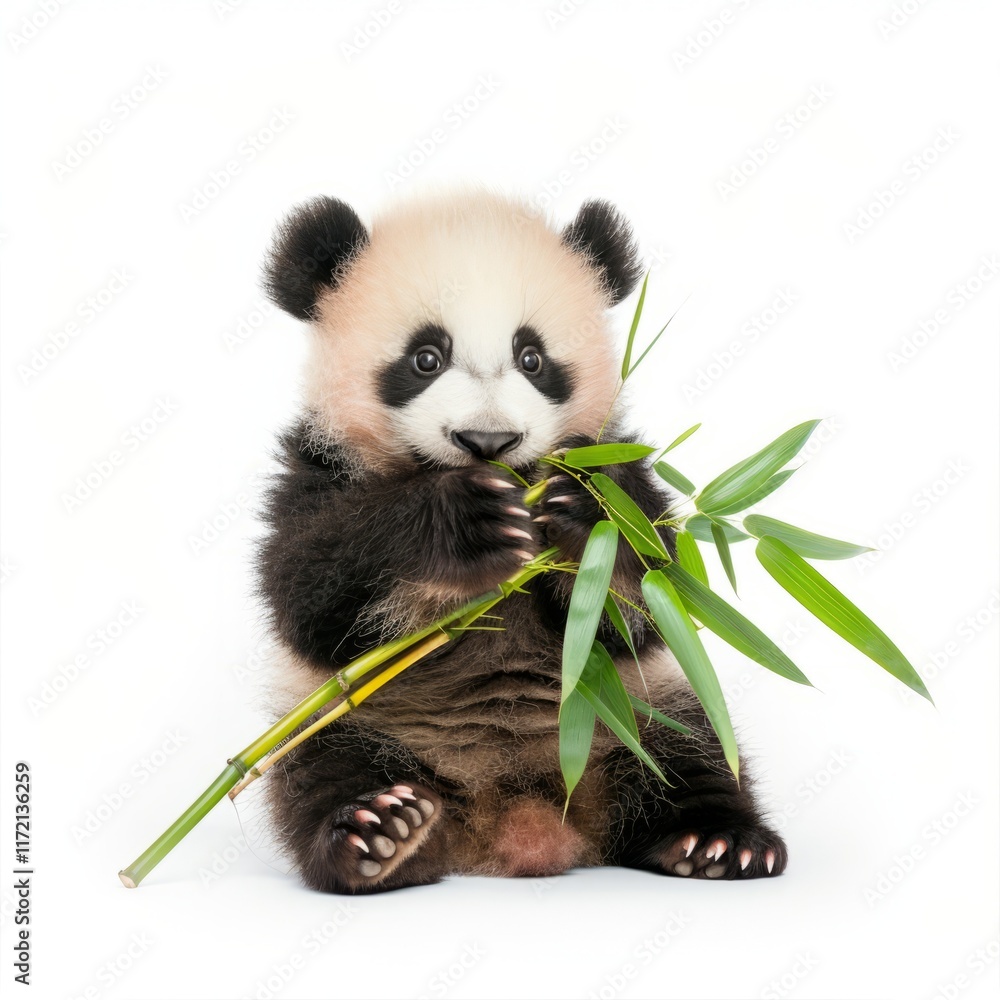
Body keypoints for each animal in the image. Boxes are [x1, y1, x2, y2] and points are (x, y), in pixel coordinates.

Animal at [257, 190, 787, 894]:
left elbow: (652, 597)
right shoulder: (320, 467)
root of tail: (518, 818)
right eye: (426, 357)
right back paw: (379, 832)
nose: (488, 441)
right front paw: (463, 520)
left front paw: (585, 513)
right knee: (322, 772)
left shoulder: (620, 466)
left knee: (691, 757)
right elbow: (308, 593)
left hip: (639, 709)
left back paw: (719, 842)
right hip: (350, 719)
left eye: (532, 357)